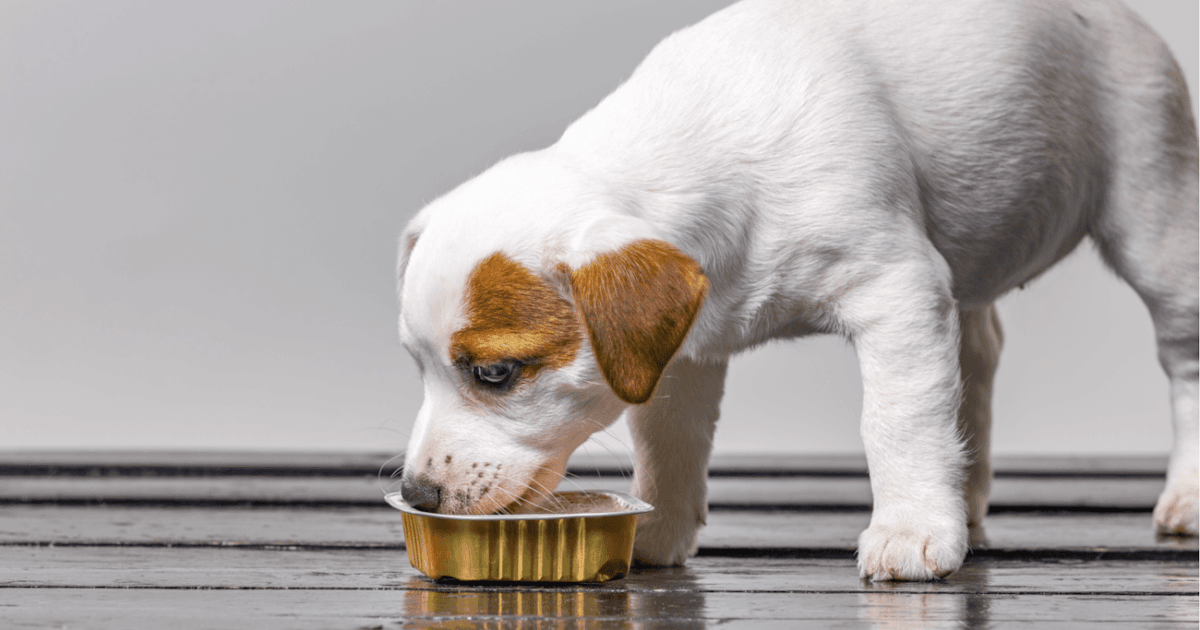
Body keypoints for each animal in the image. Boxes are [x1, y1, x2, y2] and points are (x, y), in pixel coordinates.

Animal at [396, 0, 1200, 580]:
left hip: (1156, 217)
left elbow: (899, 419)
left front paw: (909, 528)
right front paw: (658, 530)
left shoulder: (897, 291)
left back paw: (1185, 494)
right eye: (418, 368)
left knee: (1183, 357)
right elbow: (671, 439)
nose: (417, 496)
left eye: (496, 374)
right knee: (976, 357)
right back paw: (964, 498)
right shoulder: (680, 351)